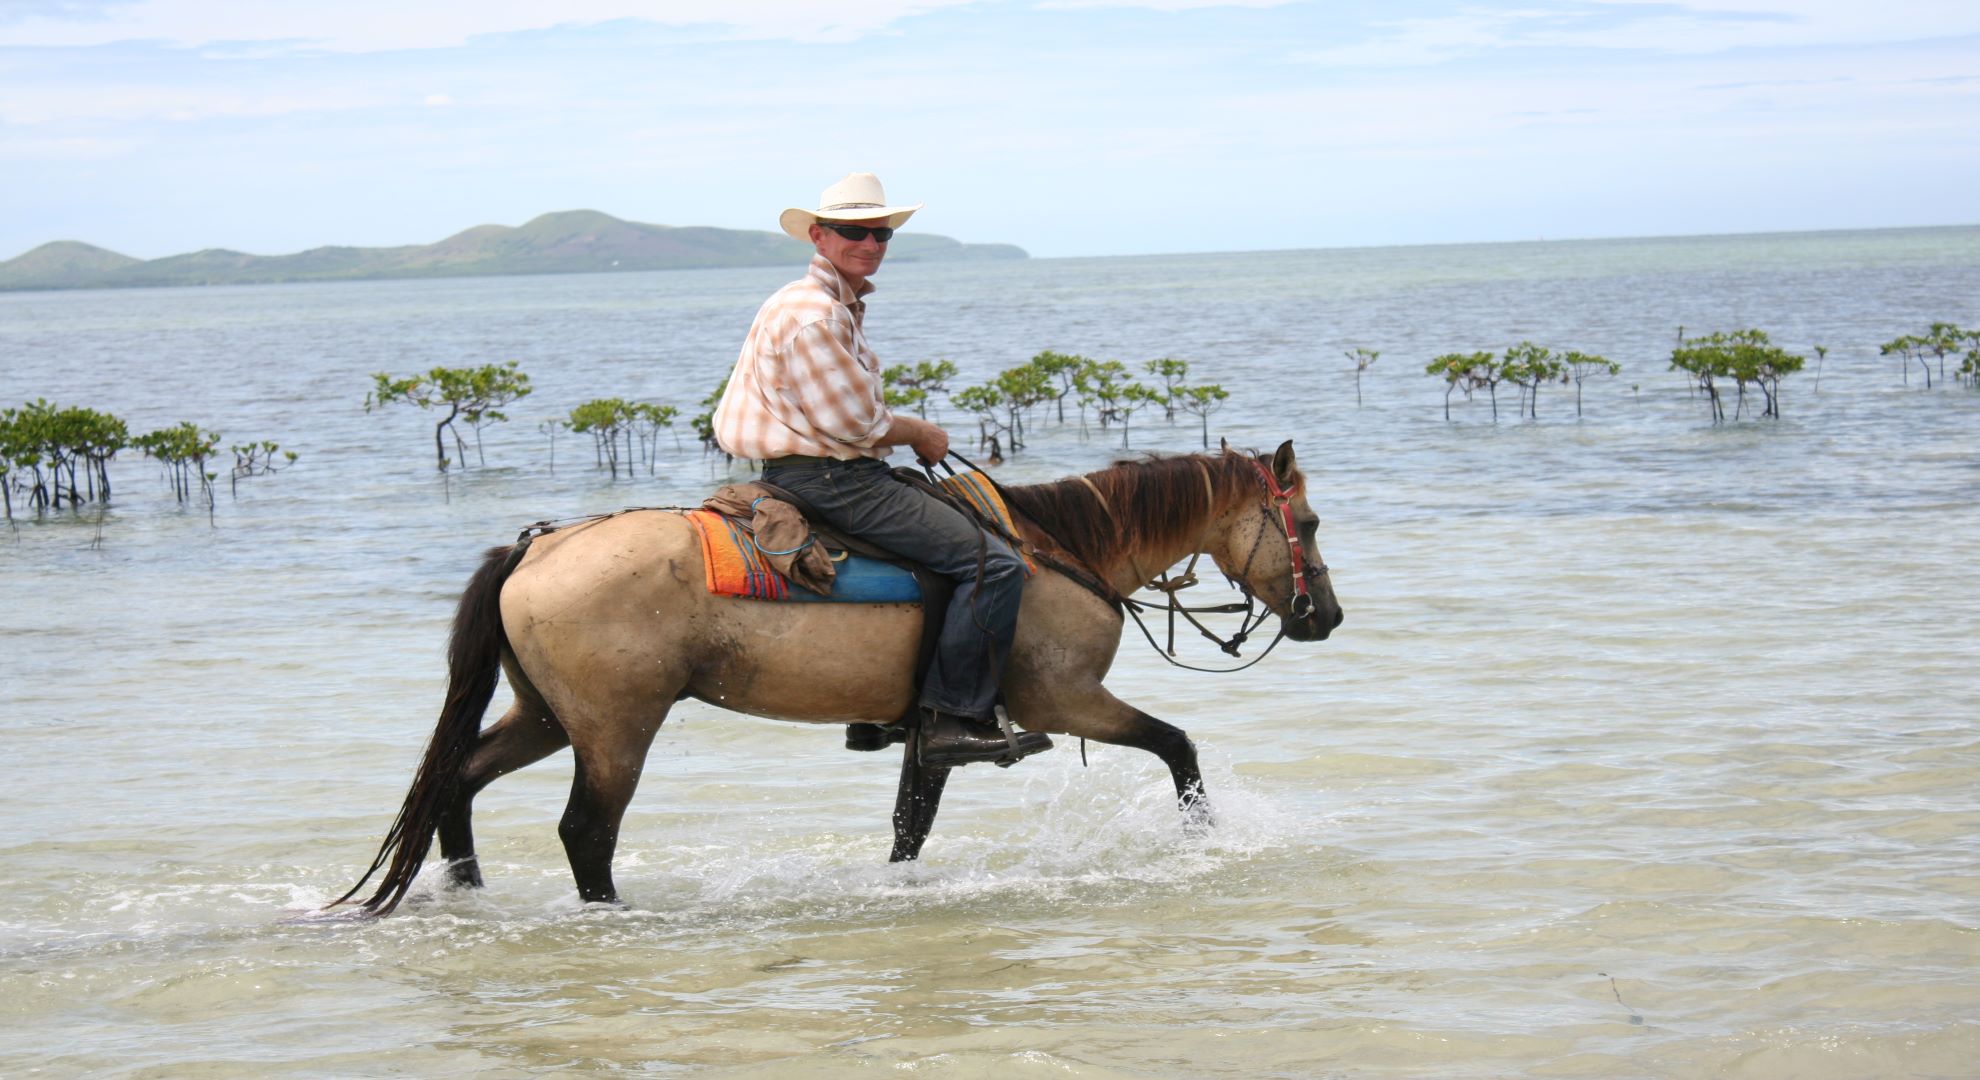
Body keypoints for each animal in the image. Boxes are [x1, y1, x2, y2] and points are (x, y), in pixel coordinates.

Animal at [336, 441, 1346, 915]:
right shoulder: (1066, 700)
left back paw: (470, 893)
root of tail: (536, 547)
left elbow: (910, 826)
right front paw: (1203, 840)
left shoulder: (937, 730)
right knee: (586, 832)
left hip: (544, 714)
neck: (1058, 553)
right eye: (1307, 522)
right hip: (616, 730)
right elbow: (1179, 748)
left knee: (458, 785)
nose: (1325, 617)